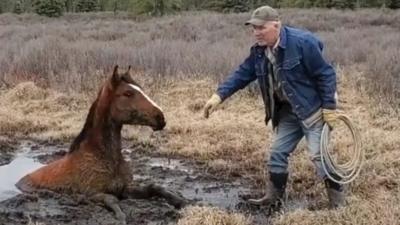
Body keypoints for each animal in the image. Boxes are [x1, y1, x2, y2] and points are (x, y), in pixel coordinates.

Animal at [14, 65, 186, 223]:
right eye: (128, 93)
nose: (161, 118)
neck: (104, 157)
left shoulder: (124, 189)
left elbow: (154, 187)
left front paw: (180, 201)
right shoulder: (91, 194)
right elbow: (111, 199)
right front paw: (121, 217)